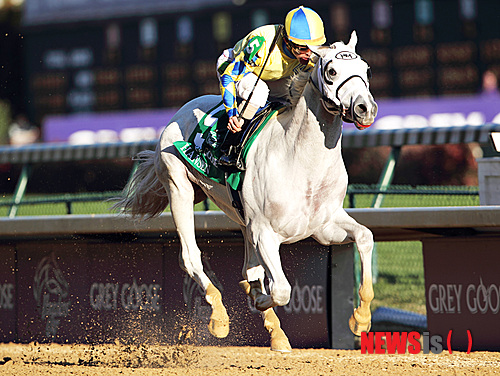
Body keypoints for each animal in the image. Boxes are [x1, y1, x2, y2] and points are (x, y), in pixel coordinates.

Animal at [114, 31, 378, 352]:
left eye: (366, 70)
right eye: (331, 71)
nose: (365, 108)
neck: (302, 160)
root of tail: (184, 109)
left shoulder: (323, 226)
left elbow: (364, 237)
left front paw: (361, 318)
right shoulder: (265, 232)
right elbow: (280, 290)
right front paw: (258, 299)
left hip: (240, 216)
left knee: (248, 268)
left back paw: (277, 334)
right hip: (179, 187)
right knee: (190, 256)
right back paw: (219, 316)